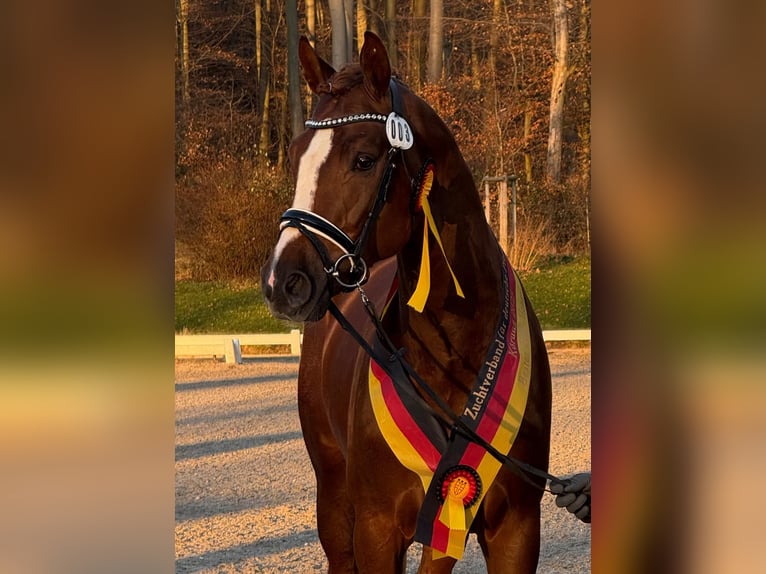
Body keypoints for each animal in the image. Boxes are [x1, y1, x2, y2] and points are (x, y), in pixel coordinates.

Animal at [264, 32, 552, 574]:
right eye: (294, 157)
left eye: (363, 159)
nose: (282, 281)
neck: (456, 347)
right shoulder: (376, 529)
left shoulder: (517, 529)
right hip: (334, 501)